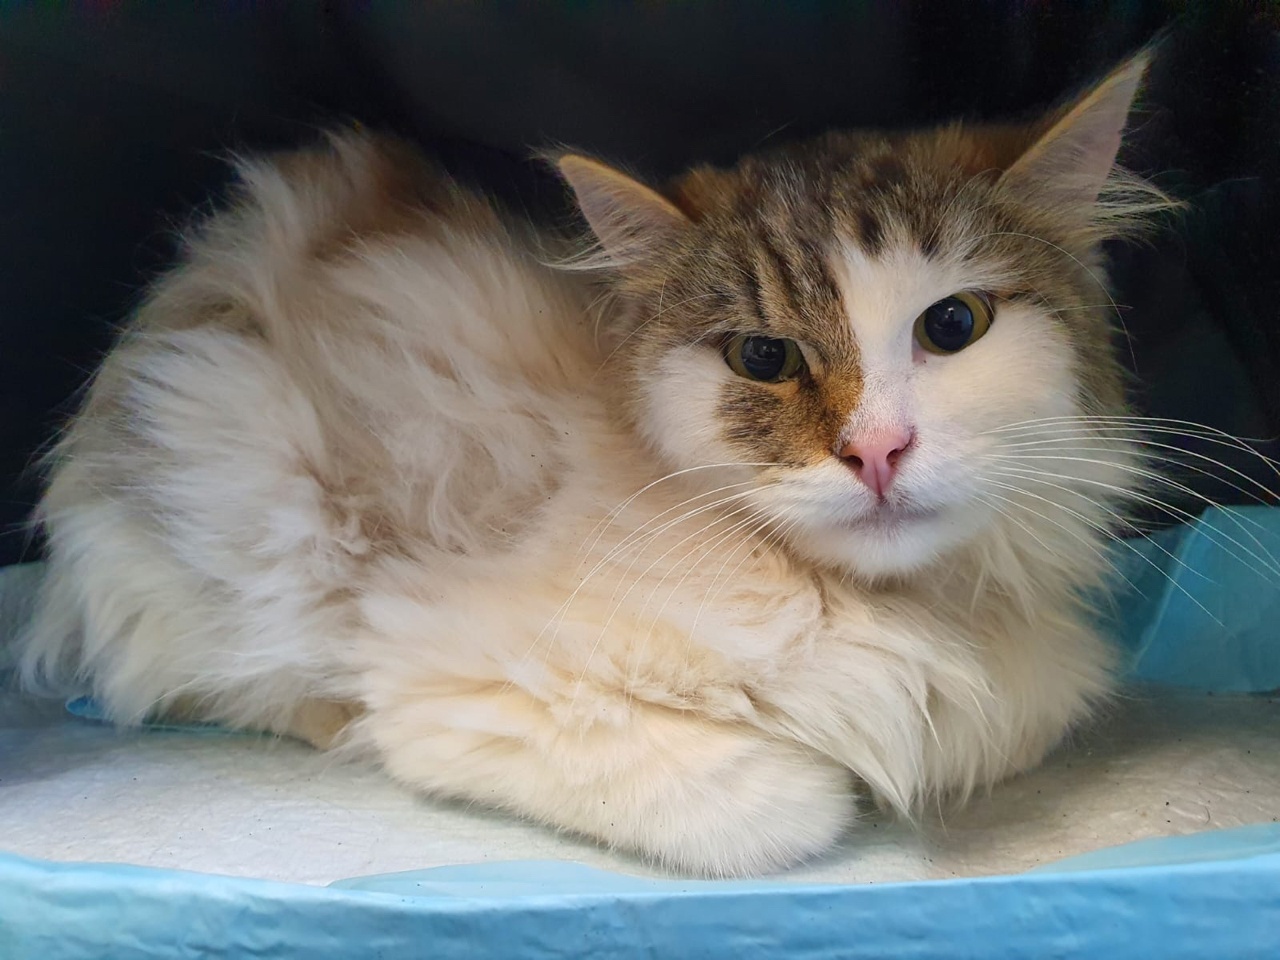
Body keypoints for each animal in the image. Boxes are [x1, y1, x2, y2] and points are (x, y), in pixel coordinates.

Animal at [20, 52, 1177, 880]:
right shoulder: (459, 679)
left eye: (953, 326)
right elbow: (787, 804)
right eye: (764, 358)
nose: (876, 451)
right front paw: (832, 778)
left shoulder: (1022, 703)